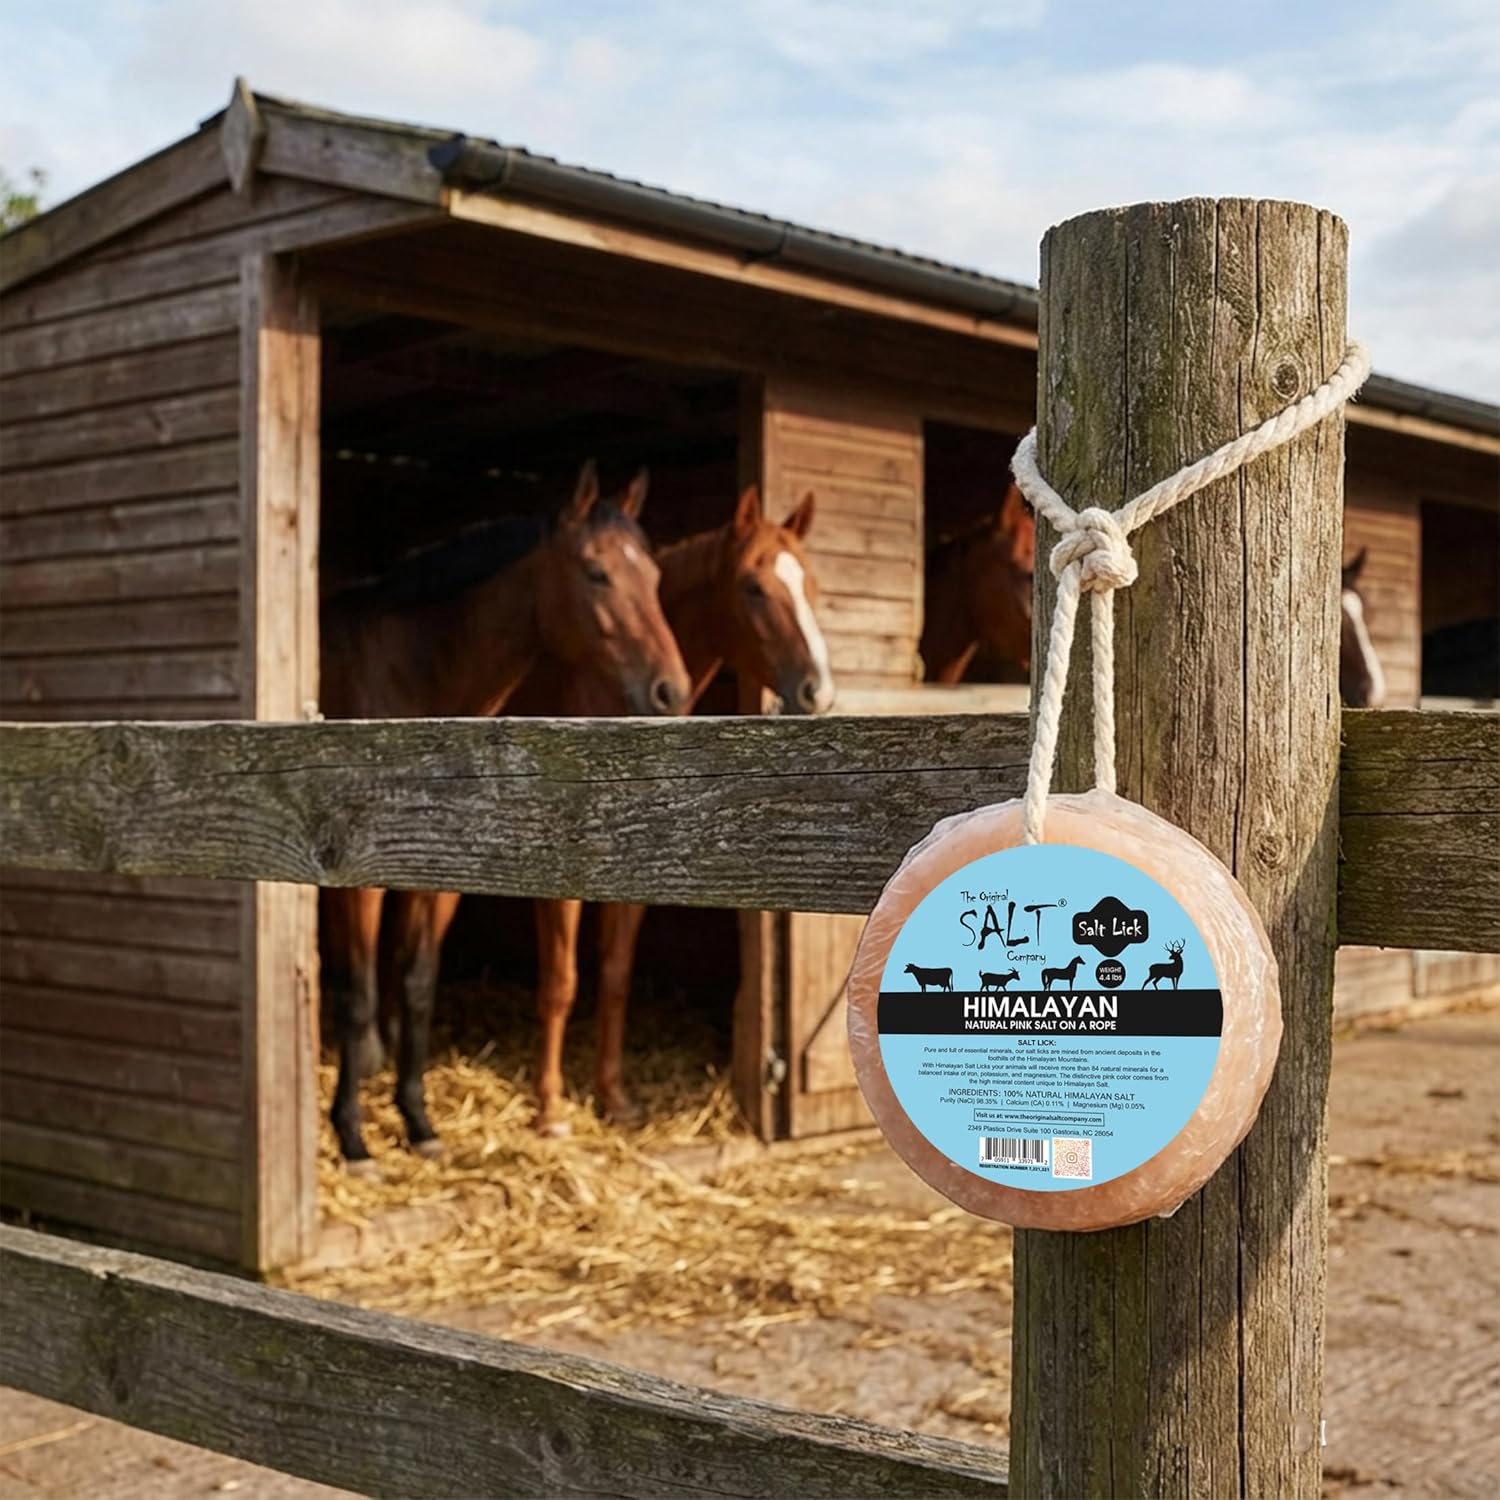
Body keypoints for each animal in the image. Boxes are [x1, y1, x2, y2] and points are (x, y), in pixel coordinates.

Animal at [321, 462, 691, 1169]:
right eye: (596, 572)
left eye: (657, 578)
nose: (671, 691)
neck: (411, 676)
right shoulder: (359, 877)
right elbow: (355, 994)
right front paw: (353, 1137)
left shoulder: (436, 873)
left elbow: (419, 982)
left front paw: (419, 1121)